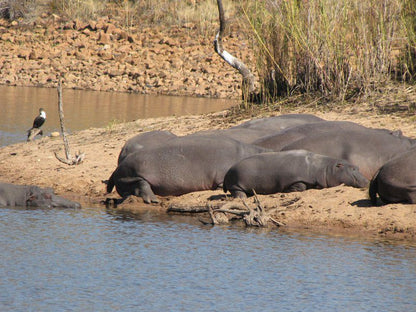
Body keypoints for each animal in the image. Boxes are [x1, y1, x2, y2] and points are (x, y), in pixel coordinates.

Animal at [223, 151, 368, 199]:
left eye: (357, 167)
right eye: (353, 168)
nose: (367, 181)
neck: (325, 168)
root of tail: (229, 169)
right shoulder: (296, 179)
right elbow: (300, 186)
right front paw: (288, 190)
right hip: (236, 183)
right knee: (236, 192)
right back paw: (242, 197)